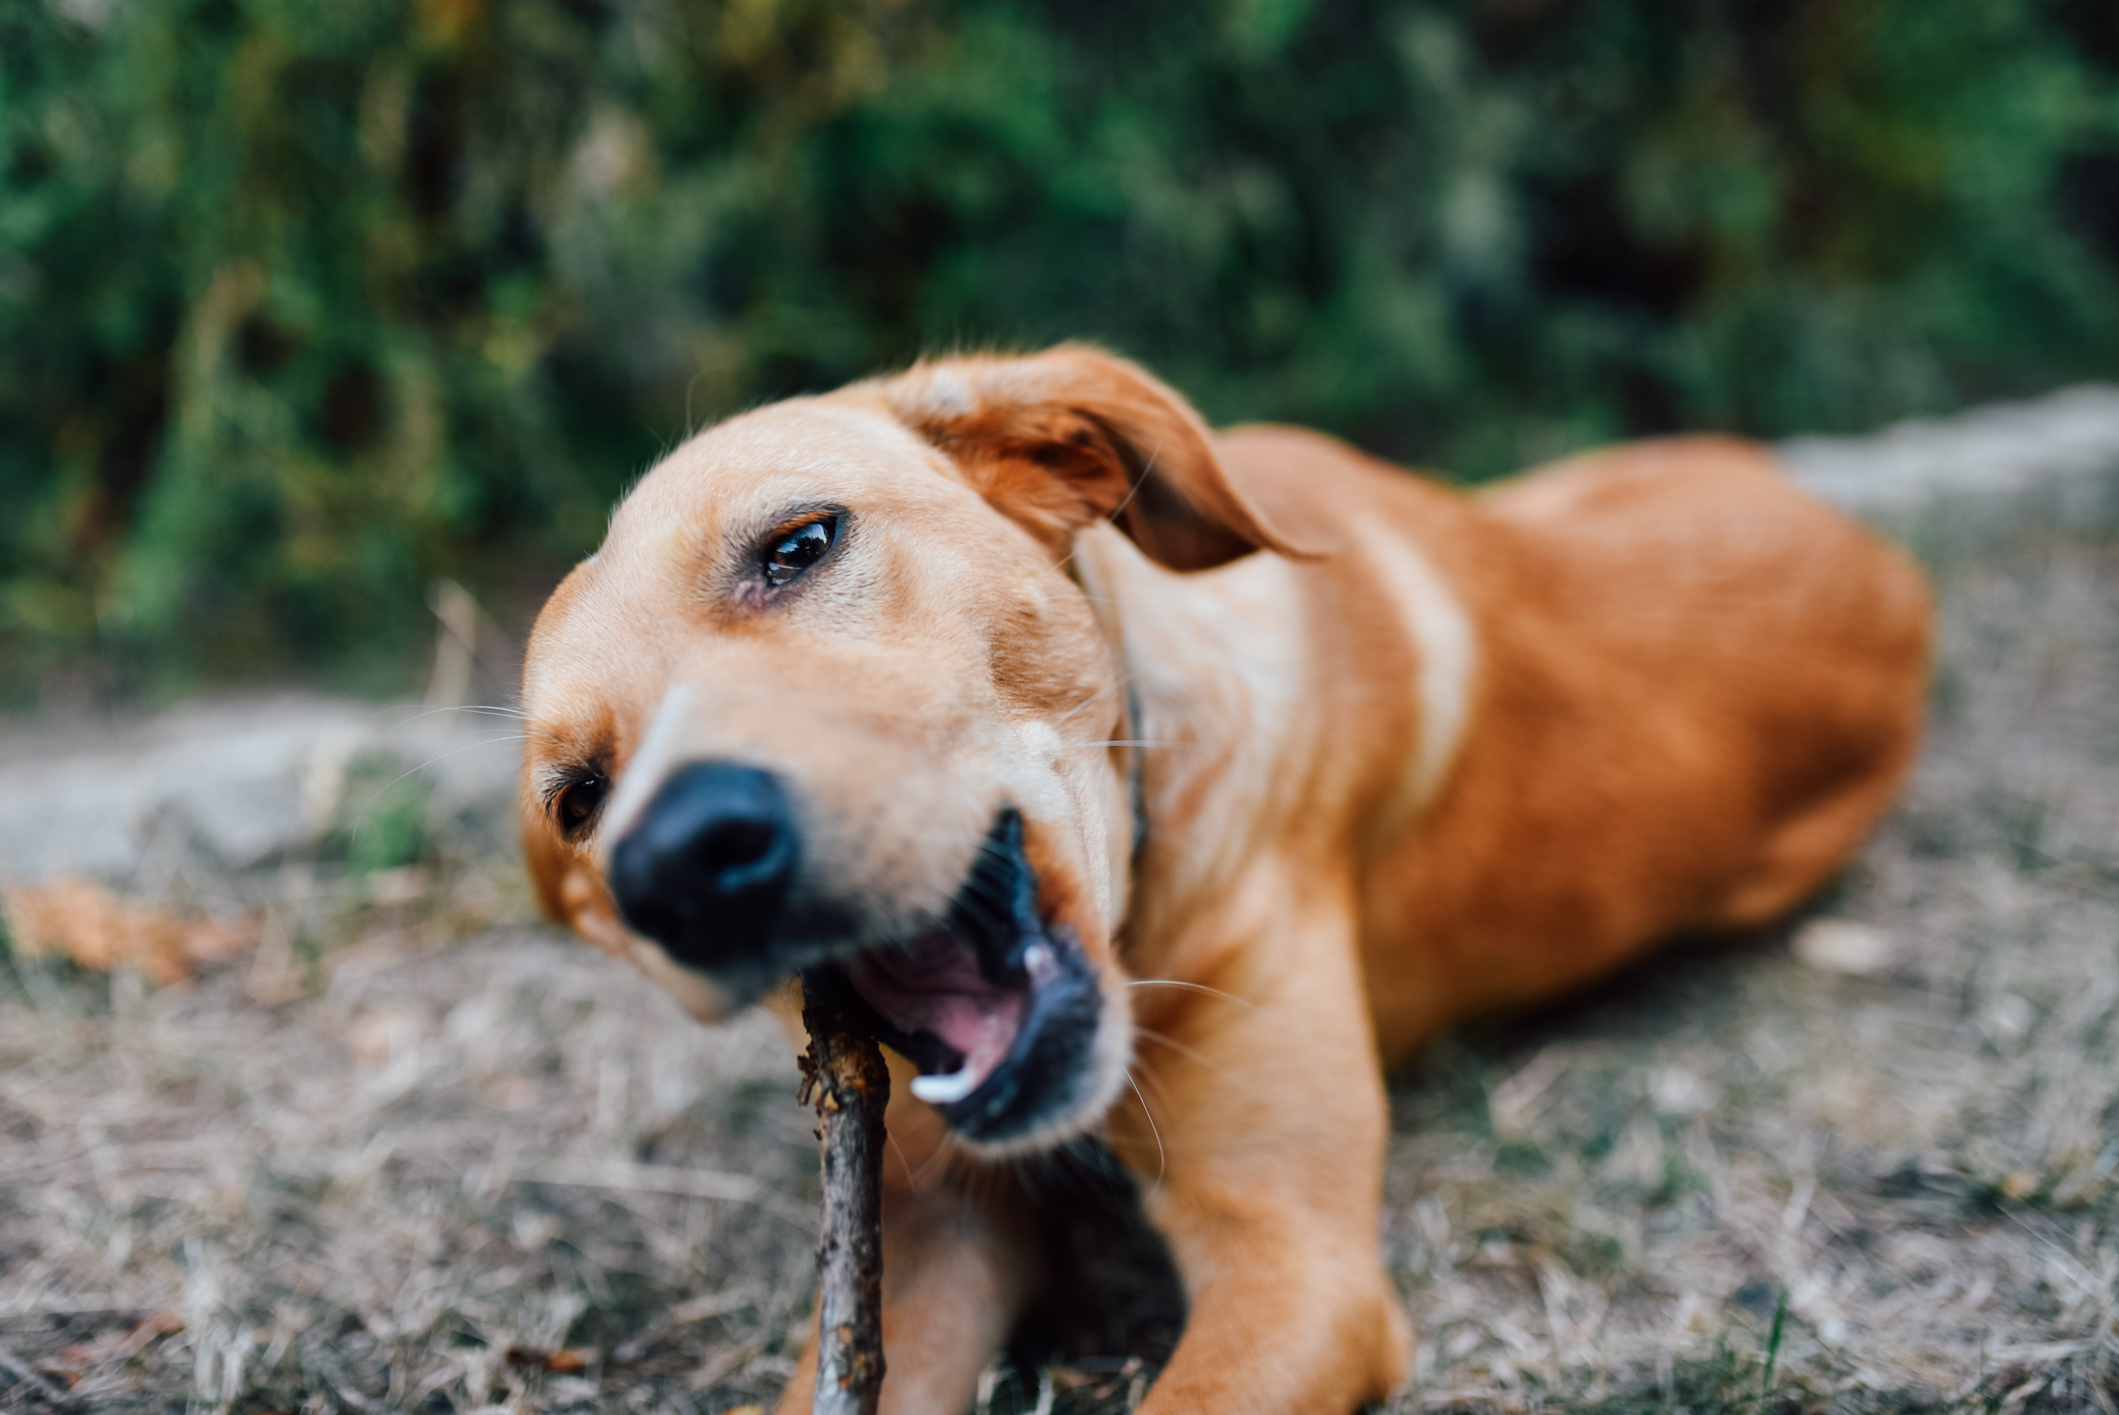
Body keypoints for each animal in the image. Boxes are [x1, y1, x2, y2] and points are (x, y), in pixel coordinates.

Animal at [517, 345, 1941, 1415]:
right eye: (579, 798)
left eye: (801, 542)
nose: (678, 863)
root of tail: (1883, 555)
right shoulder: (923, 1246)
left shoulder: (1298, 1268)